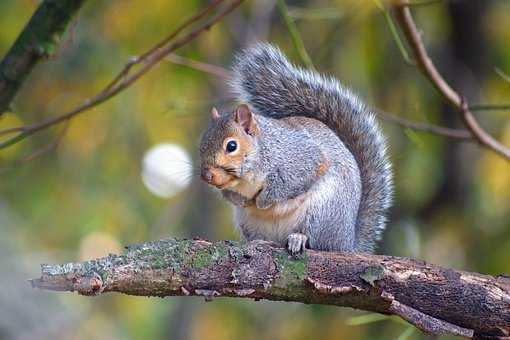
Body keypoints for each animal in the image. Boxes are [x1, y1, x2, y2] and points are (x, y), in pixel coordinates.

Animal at [197, 43, 392, 255]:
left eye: (231, 146)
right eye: (201, 145)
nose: (206, 176)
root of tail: (347, 243)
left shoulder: (299, 158)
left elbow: (290, 182)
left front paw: (263, 201)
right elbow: (229, 194)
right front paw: (239, 200)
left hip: (323, 212)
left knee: (316, 240)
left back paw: (299, 238)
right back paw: (259, 242)